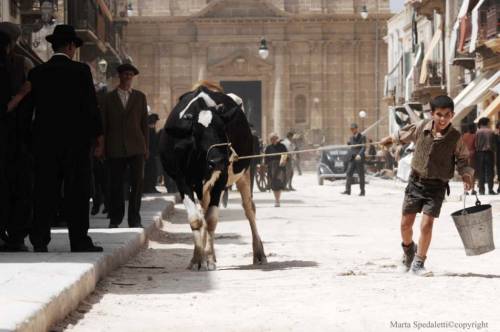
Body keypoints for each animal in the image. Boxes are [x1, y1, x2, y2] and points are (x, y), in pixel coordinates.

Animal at [160, 81, 270, 272]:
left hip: (245, 172)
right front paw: (197, 259)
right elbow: (196, 220)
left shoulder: (221, 178)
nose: (218, 160)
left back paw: (258, 253)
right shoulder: (181, 180)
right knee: (203, 212)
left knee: (249, 209)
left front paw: (209, 259)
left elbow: (211, 220)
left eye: (223, 130)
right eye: (196, 133)